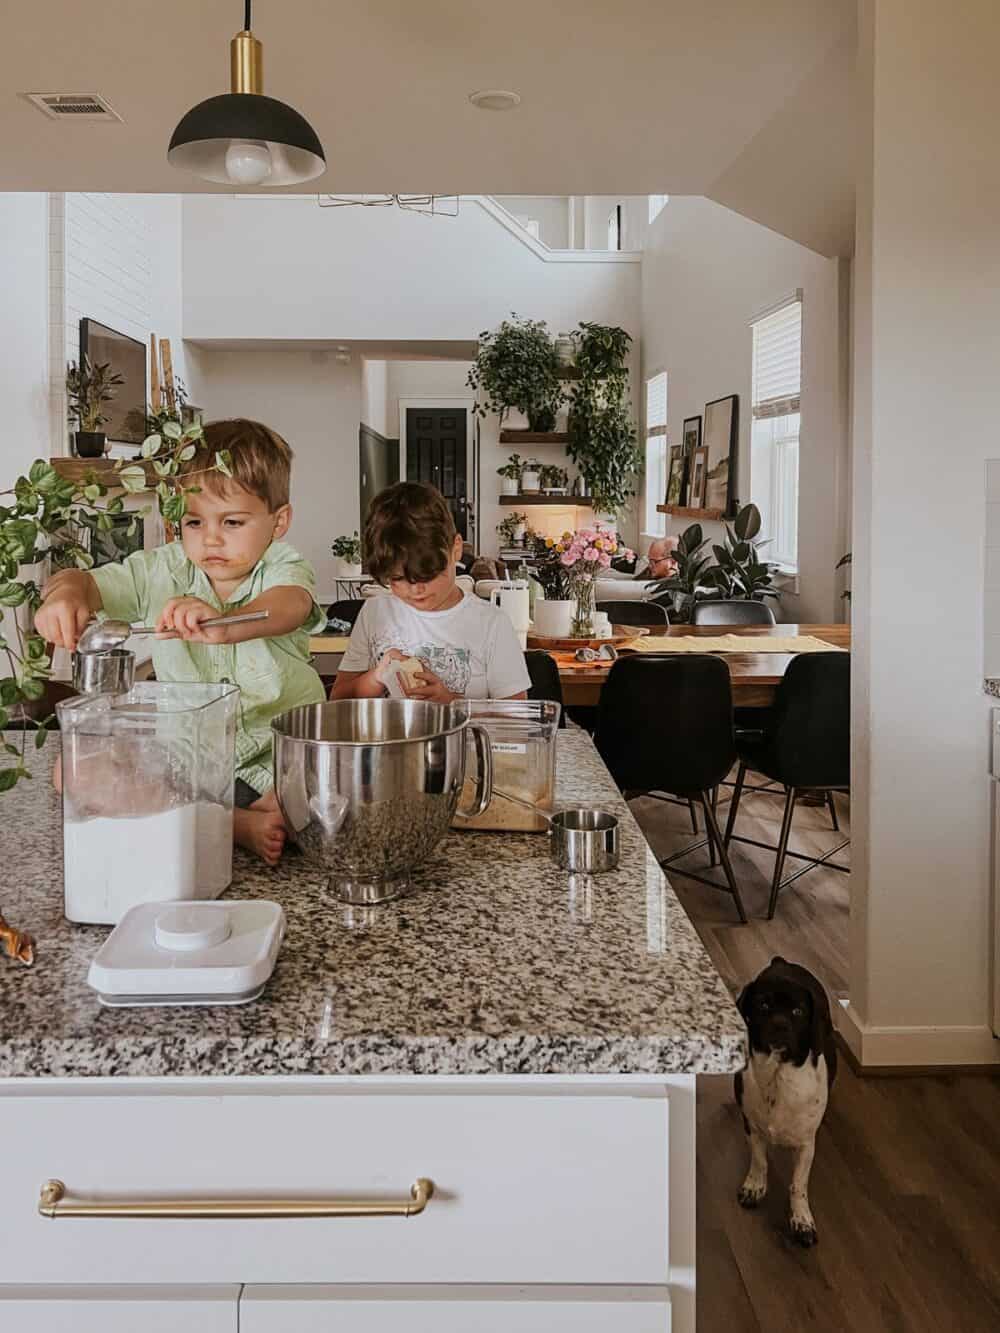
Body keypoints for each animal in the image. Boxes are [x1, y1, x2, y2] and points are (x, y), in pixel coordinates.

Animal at [736, 965, 837, 1242]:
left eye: (798, 1012)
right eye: (763, 1005)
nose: (780, 1024)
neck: (778, 1077)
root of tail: (782, 962)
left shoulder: (806, 1145)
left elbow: (798, 1184)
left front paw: (801, 1219)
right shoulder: (752, 1128)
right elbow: (760, 1161)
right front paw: (754, 1187)